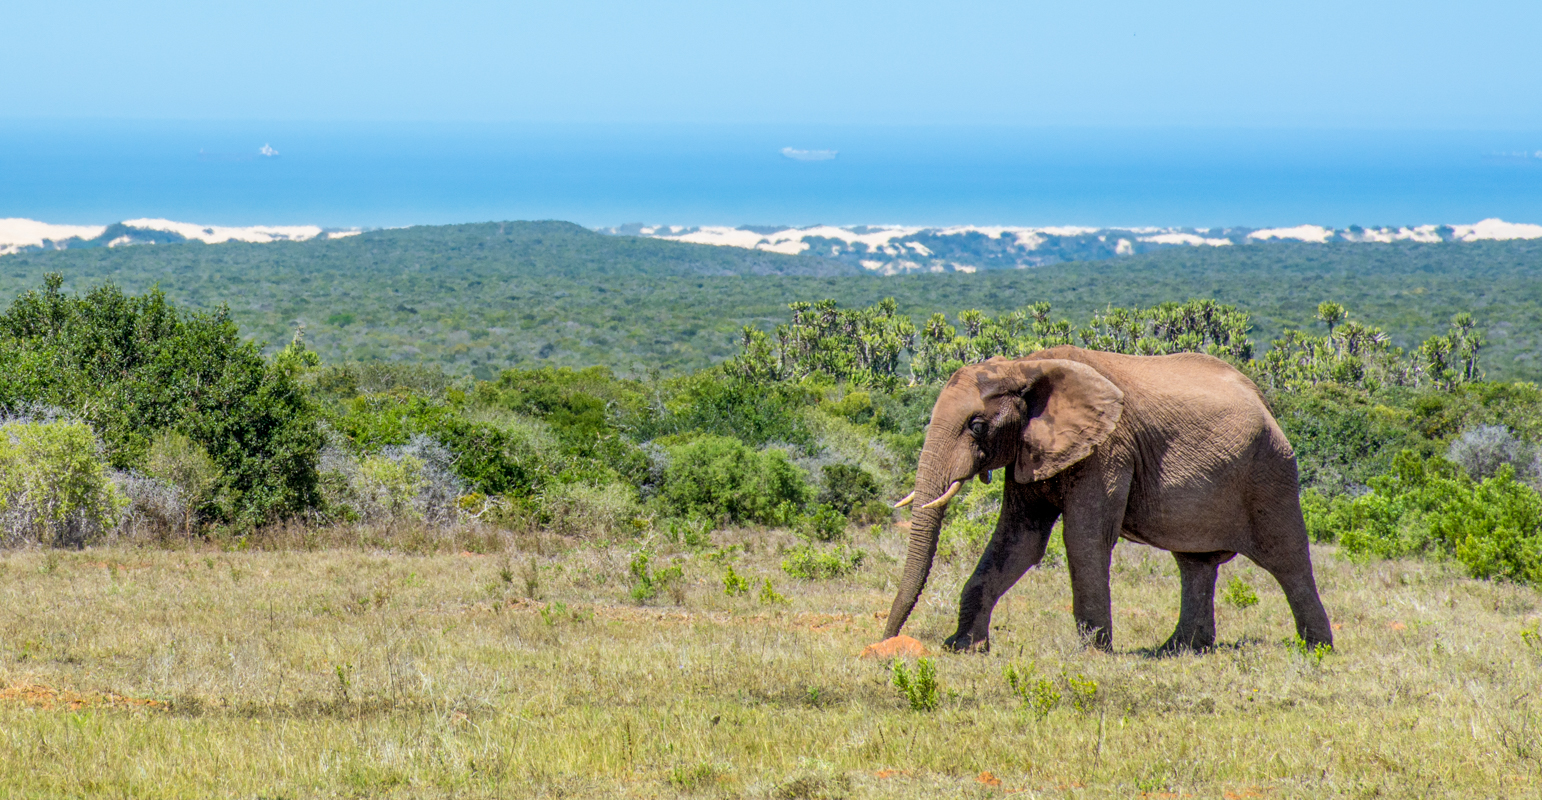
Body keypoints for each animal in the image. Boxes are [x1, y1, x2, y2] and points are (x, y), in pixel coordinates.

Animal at [883, 345, 1333, 653]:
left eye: (976, 426)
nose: (887, 640)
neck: (1026, 365)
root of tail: (1264, 401)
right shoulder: (1030, 451)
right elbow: (1018, 541)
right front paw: (963, 647)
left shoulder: (1109, 448)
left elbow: (1083, 539)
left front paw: (1092, 653)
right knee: (1195, 563)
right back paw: (1178, 650)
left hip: (1270, 469)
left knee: (1287, 558)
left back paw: (1316, 650)